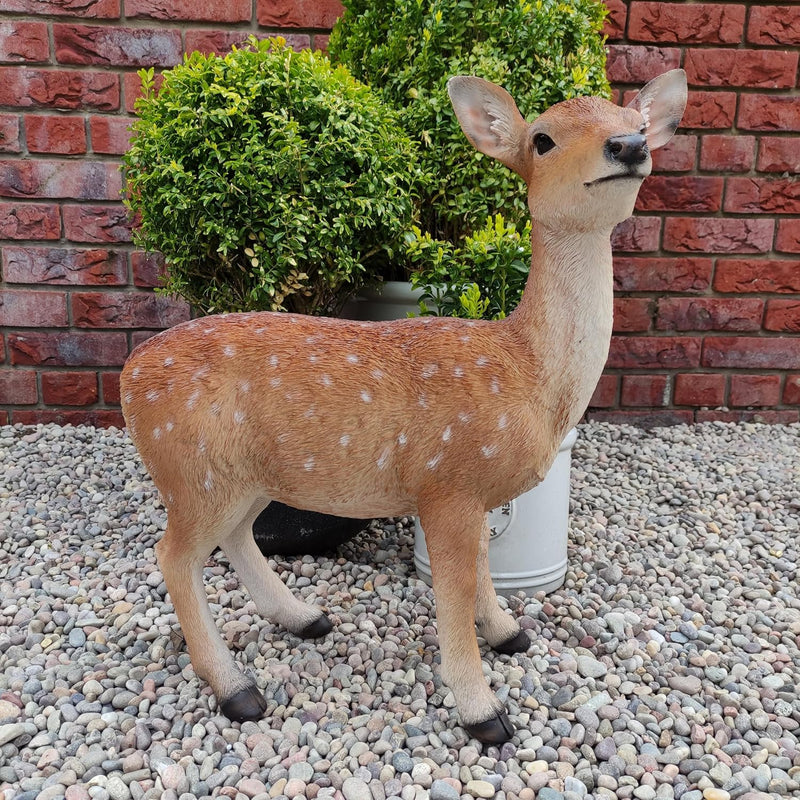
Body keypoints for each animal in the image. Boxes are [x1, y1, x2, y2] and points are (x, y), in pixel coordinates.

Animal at [120, 69, 687, 744]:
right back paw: (238, 691)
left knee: (234, 539)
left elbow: (483, 571)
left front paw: (509, 634)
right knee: (173, 556)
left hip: (245, 474)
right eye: (543, 139)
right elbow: (453, 593)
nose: (629, 146)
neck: (530, 374)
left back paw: (305, 619)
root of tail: (128, 376)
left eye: (635, 119)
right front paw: (483, 712)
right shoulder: (446, 483)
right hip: (191, 467)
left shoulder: (471, 491)